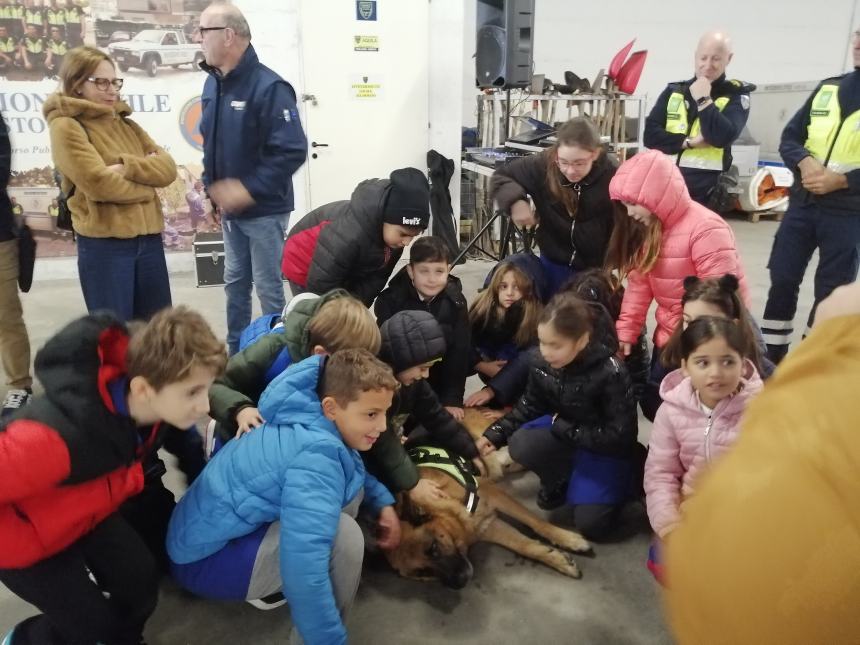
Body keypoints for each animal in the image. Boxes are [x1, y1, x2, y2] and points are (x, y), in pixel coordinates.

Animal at [386, 410, 596, 588]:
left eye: (433, 548)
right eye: (422, 573)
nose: (460, 581)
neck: (445, 510)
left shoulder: (494, 495)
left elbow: (535, 521)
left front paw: (569, 539)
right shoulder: (487, 525)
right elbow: (525, 546)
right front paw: (558, 560)